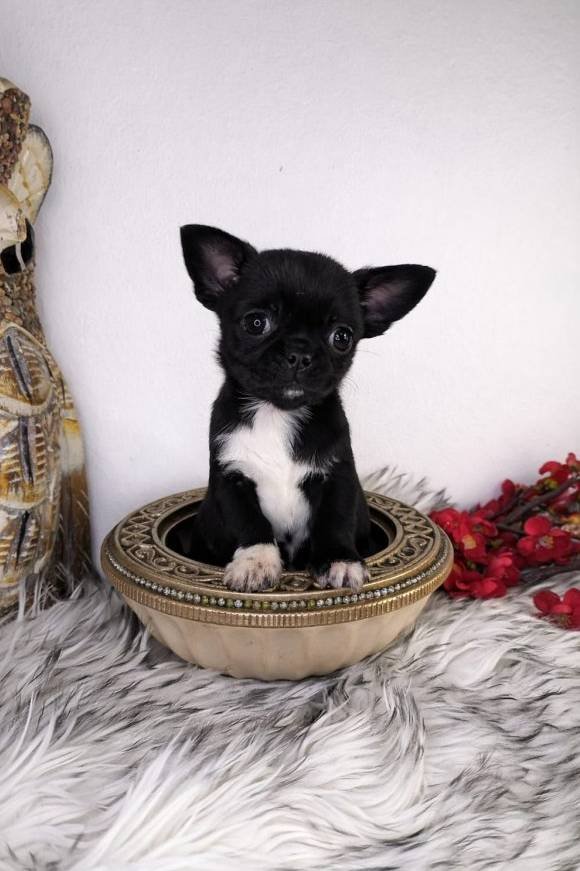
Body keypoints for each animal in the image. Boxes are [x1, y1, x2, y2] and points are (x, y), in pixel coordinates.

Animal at [180, 225, 435, 593]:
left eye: (341, 337)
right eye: (256, 323)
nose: (300, 352)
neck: (278, 412)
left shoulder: (338, 475)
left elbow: (334, 519)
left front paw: (340, 561)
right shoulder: (231, 477)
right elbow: (249, 522)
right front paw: (255, 563)